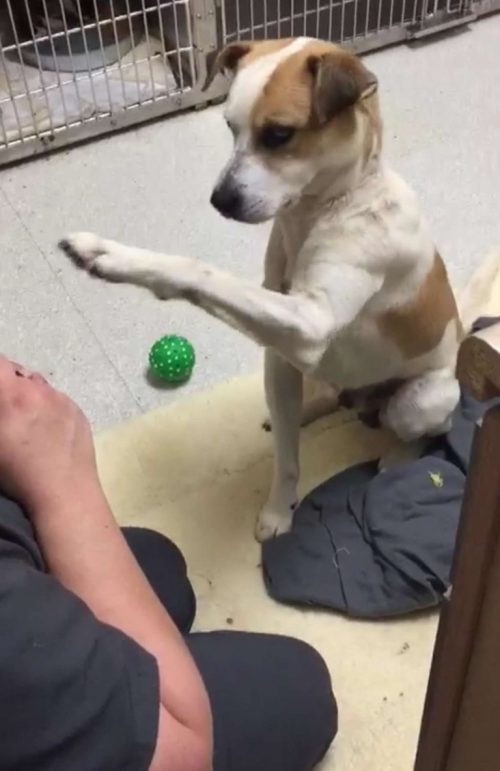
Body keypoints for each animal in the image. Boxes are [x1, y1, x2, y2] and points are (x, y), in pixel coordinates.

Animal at [59, 37, 500, 544]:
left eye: (279, 135)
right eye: (229, 127)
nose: (220, 201)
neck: (327, 207)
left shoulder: (309, 322)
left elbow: (201, 271)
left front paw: (114, 257)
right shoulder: (283, 357)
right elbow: (287, 460)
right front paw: (279, 510)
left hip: (420, 400)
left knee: (425, 428)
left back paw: (397, 456)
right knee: (327, 396)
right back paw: (310, 407)